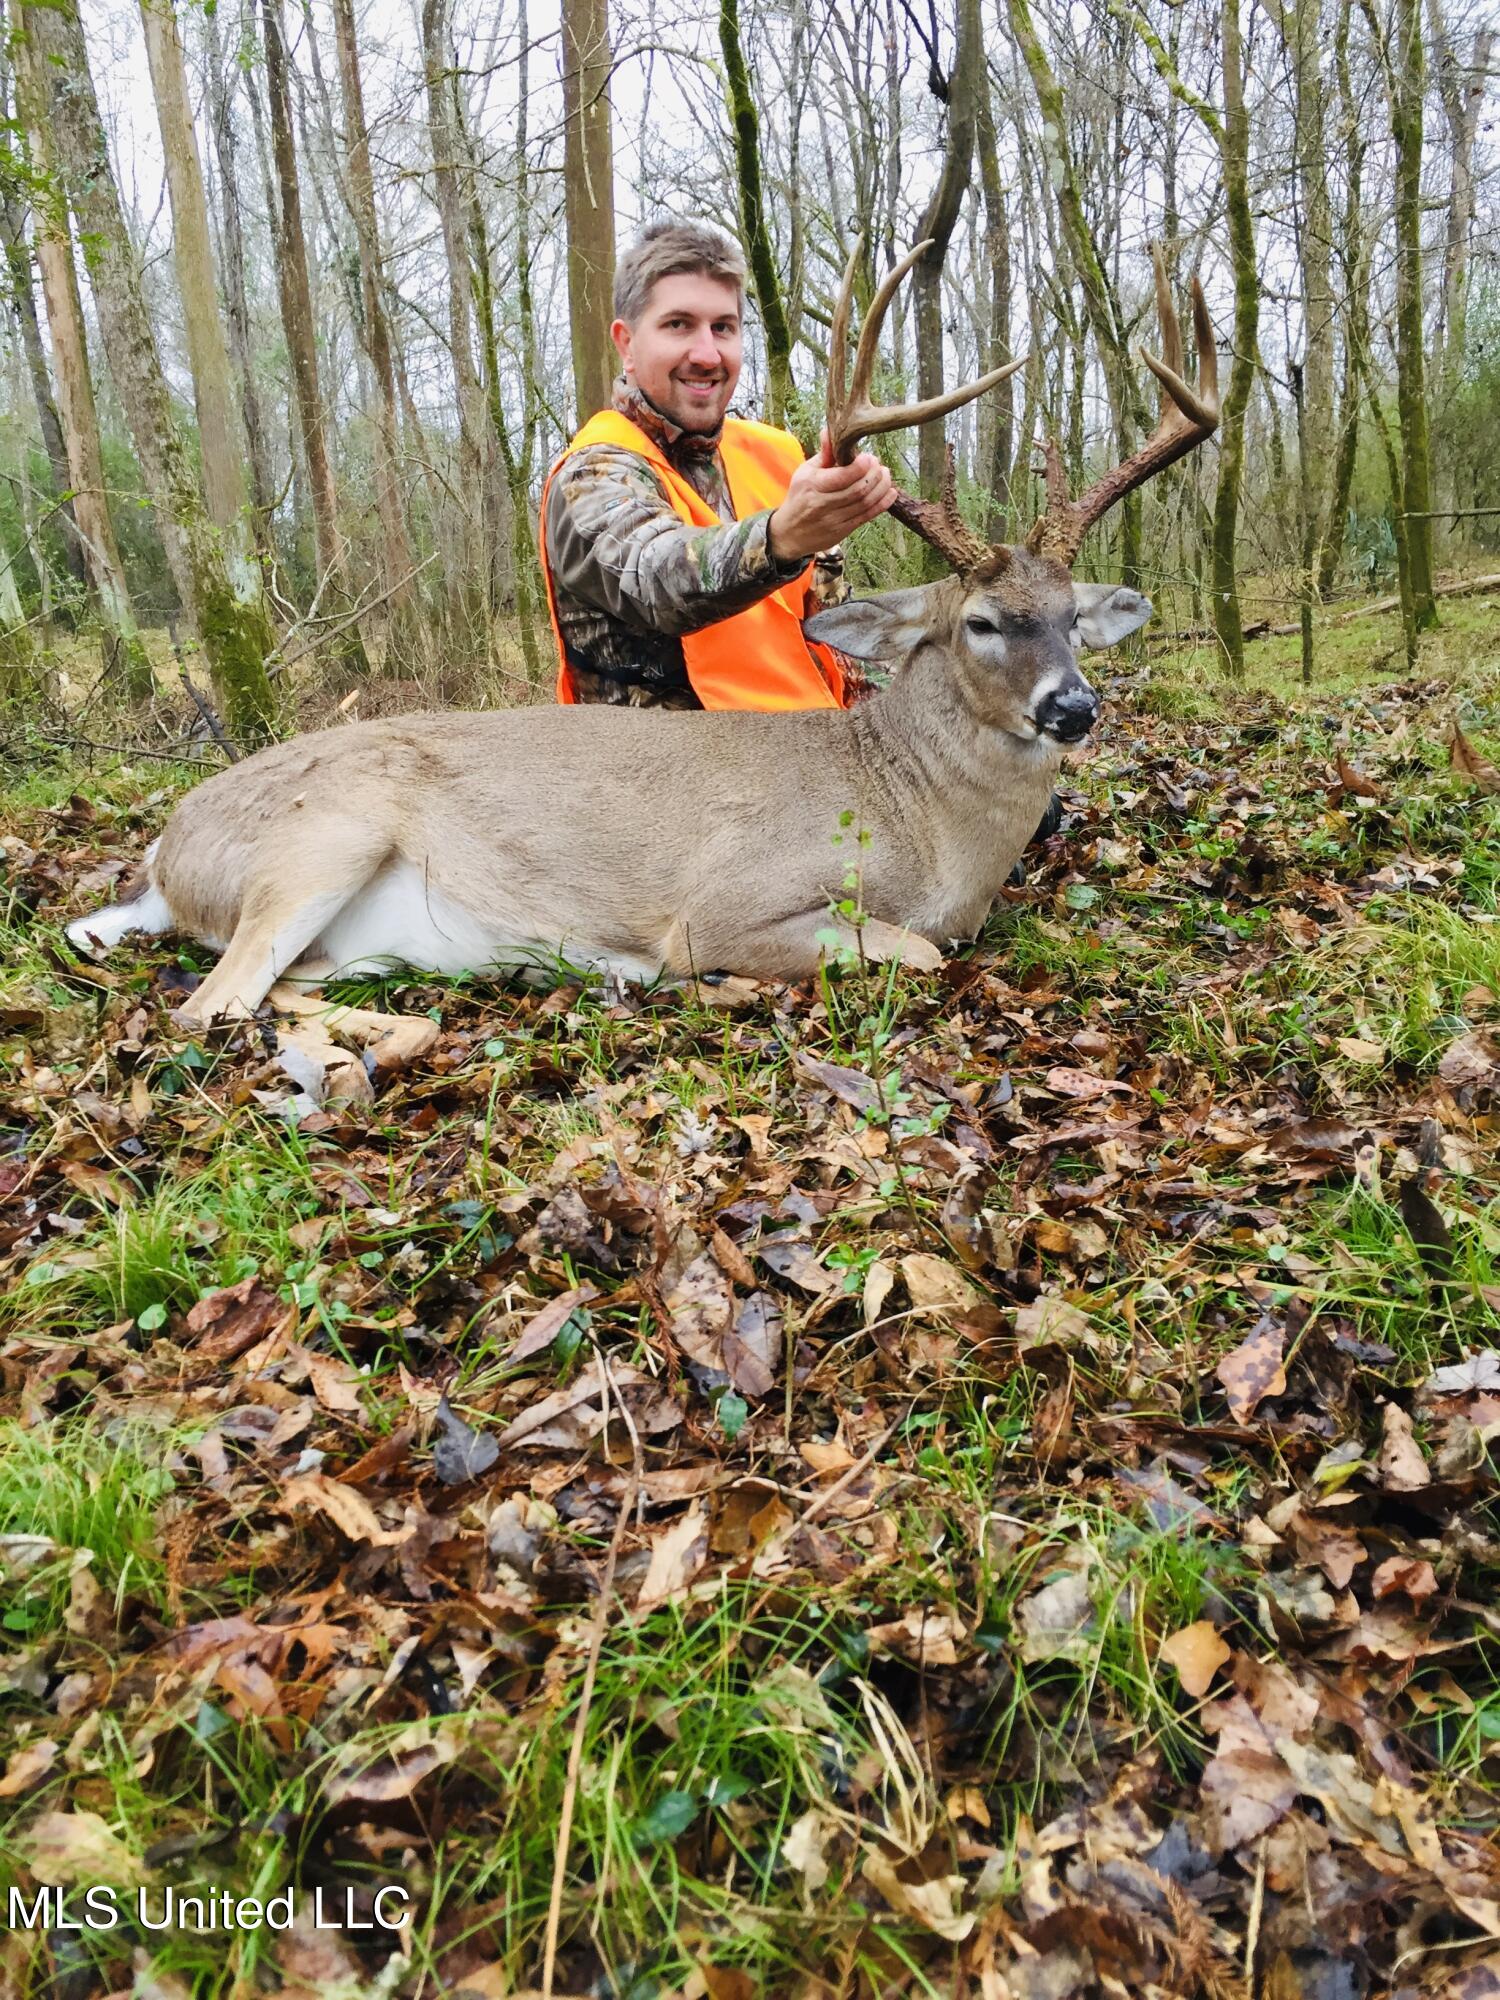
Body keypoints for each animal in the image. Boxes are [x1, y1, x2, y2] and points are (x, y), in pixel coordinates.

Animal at [67, 244, 1218, 1030]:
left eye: (1073, 618)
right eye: (979, 622)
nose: (1073, 706)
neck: (919, 820)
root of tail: (166, 852)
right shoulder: (731, 901)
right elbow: (914, 955)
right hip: (322, 835)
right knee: (211, 1002)